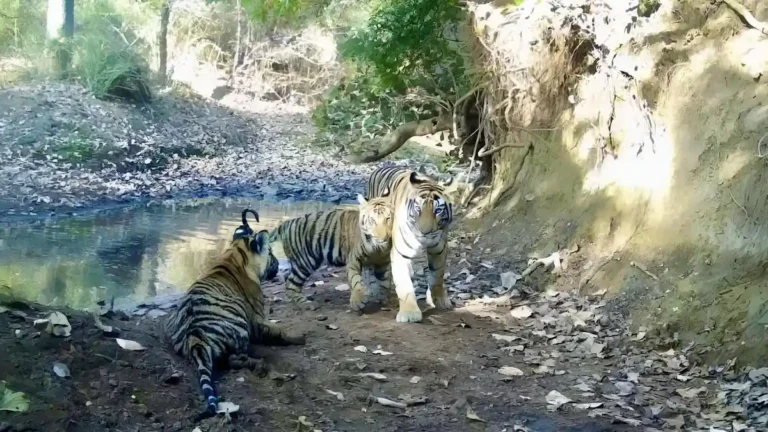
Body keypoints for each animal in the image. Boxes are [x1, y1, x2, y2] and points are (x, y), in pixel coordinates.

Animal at [164, 209, 305, 420]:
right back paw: (259, 365)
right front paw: (299, 337)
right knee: (233, 358)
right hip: (240, 329)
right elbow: (278, 330)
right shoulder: (256, 319)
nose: (278, 264)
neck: (235, 256)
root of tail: (195, 337)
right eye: (270, 253)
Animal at [365, 165, 454, 323]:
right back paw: (375, 291)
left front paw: (439, 300)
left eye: (437, 210)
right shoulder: (401, 252)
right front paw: (409, 313)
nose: (425, 232)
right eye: (418, 208)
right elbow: (404, 284)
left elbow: (437, 275)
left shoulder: (439, 248)